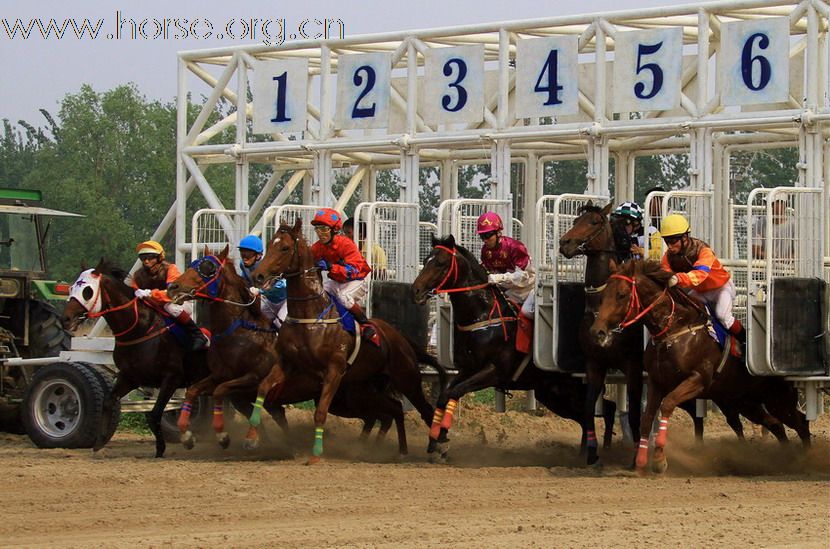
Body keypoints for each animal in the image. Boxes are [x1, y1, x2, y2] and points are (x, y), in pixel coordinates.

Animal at [61, 260, 210, 456]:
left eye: (87, 291)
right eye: (71, 288)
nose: (66, 318)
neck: (141, 329)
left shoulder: (172, 377)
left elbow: (155, 414)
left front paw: (167, 446)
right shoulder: (130, 377)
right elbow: (108, 401)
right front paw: (100, 441)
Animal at [167, 246, 416, 452]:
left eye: (207, 269)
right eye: (193, 263)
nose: (172, 287)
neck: (239, 332)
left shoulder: (252, 378)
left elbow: (221, 392)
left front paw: (224, 436)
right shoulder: (224, 379)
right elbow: (193, 391)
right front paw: (187, 436)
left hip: (355, 396)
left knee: (390, 411)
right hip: (351, 398)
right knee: (381, 415)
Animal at [247, 218, 446, 462]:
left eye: (284, 248)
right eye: (269, 245)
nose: (258, 276)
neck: (311, 315)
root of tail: (401, 338)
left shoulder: (334, 370)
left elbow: (320, 412)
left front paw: (316, 454)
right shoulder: (288, 363)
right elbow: (262, 389)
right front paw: (252, 438)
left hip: (406, 378)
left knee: (425, 410)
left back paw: (439, 448)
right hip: (369, 384)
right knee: (394, 408)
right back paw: (400, 450)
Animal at [412, 233, 620, 460]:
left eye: (440, 263)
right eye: (426, 259)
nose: (416, 290)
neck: (482, 316)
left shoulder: (494, 371)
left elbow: (454, 393)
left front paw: (441, 441)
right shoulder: (468, 369)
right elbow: (443, 396)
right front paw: (436, 442)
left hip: (571, 388)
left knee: (604, 409)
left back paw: (604, 451)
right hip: (552, 393)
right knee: (589, 415)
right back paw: (586, 452)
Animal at [592, 260, 812, 474]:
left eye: (621, 294)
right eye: (602, 296)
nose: (597, 331)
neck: (674, 330)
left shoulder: (698, 379)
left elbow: (668, 404)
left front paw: (660, 460)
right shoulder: (657, 382)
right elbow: (646, 419)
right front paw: (639, 463)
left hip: (779, 400)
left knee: (801, 423)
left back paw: (806, 460)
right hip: (746, 402)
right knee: (776, 425)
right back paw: (786, 459)